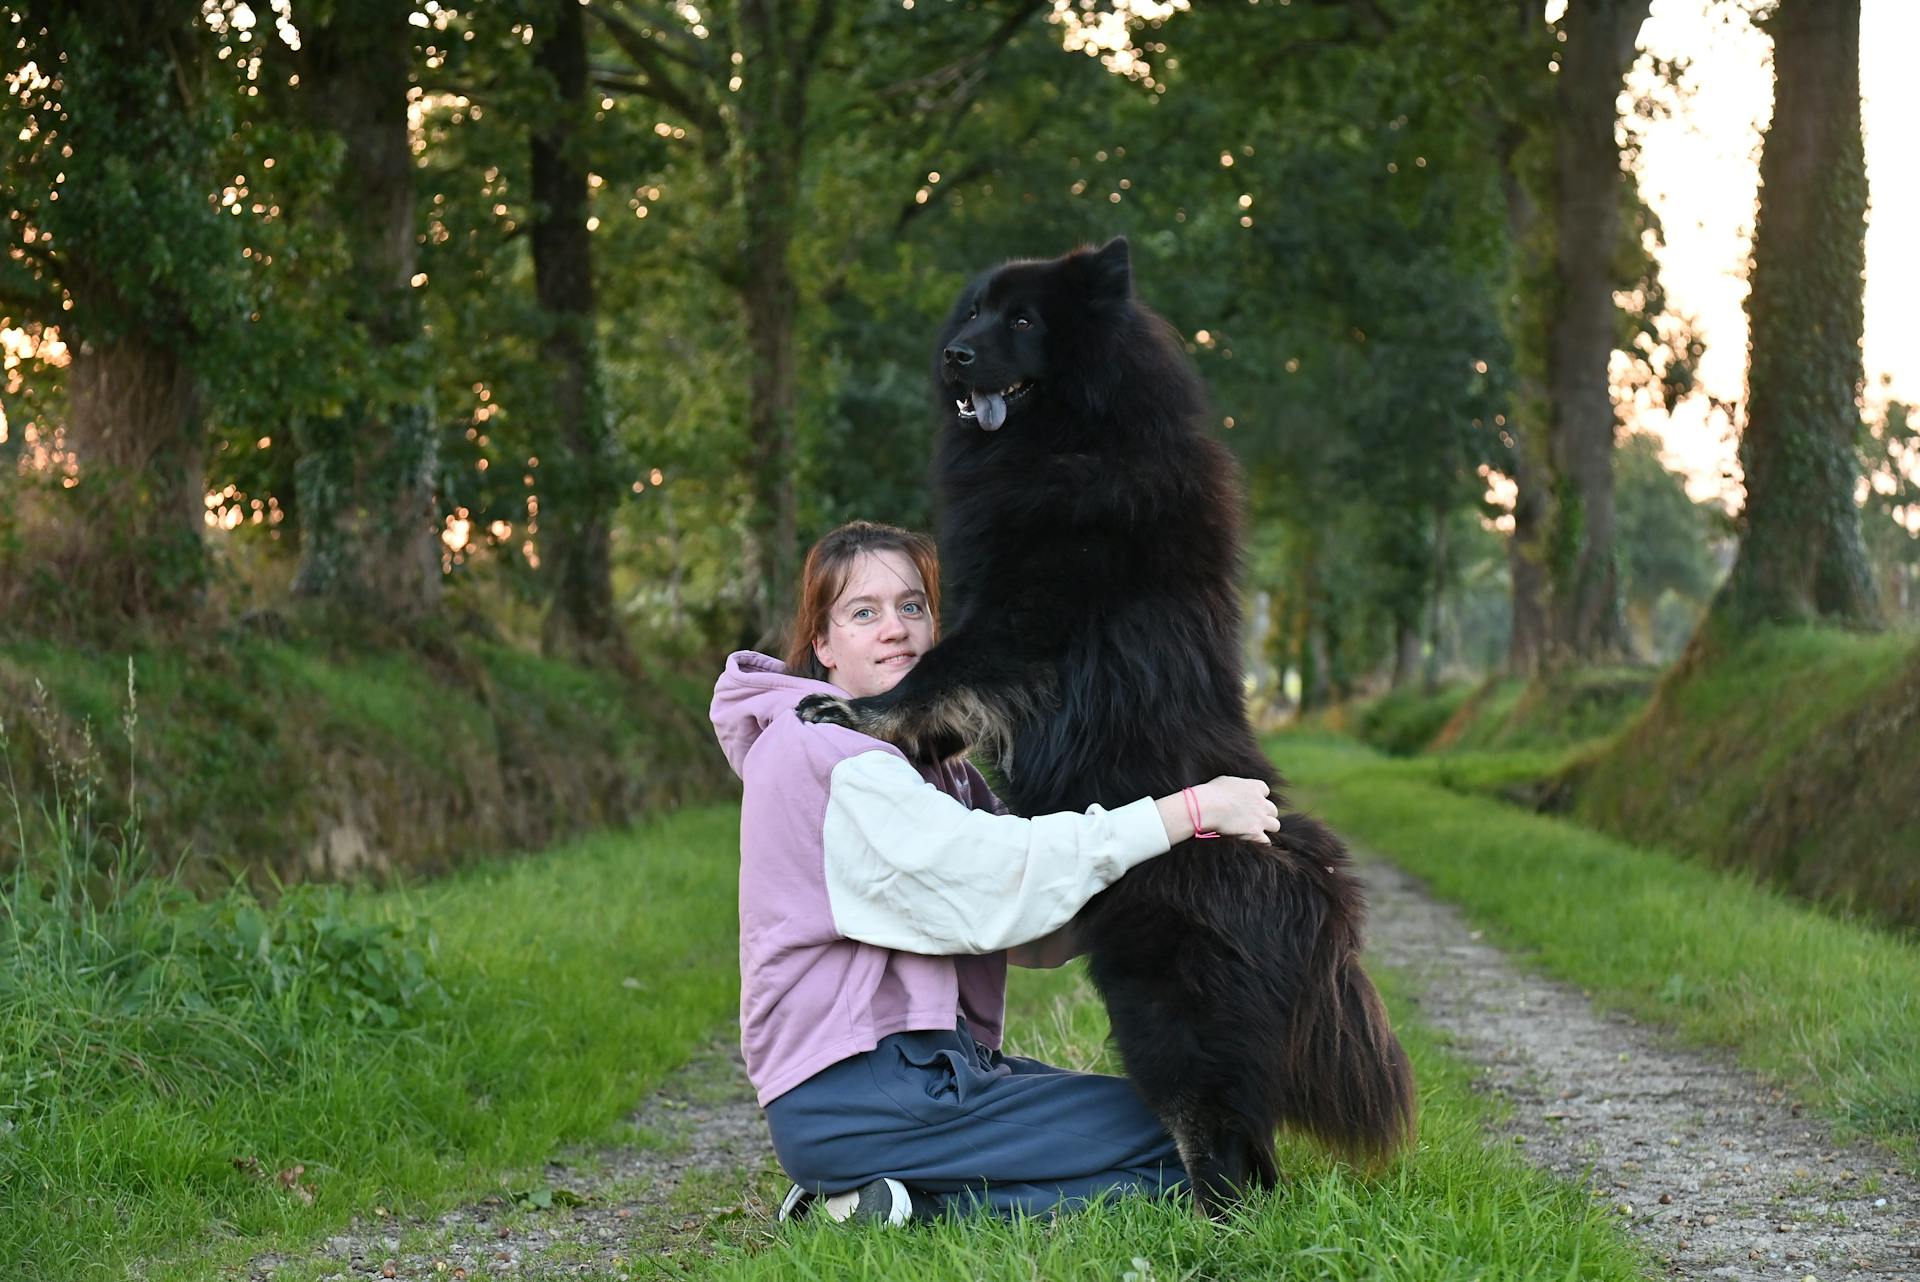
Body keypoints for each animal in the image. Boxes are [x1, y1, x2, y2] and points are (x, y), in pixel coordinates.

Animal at [794, 237, 1413, 1212]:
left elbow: (938, 673)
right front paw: (913, 741)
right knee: (1253, 1142)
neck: (1081, 433)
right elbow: (949, 703)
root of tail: (1312, 890)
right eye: (974, 311)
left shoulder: (1024, 612)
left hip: (1165, 1009)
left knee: (1214, 1130)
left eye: (1021, 320)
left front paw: (856, 711)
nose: (952, 356)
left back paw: (1202, 1220)